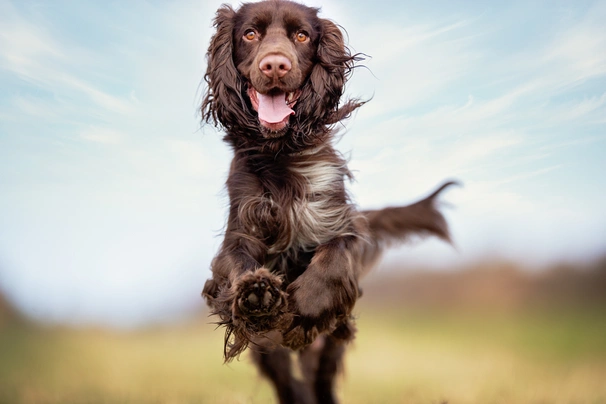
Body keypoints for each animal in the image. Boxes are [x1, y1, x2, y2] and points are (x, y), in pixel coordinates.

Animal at [202, 1, 458, 402]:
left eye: (301, 36)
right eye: (250, 34)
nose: (275, 65)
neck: (282, 154)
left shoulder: (341, 221)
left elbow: (335, 255)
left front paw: (306, 306)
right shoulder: (240, 228)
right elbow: (237, 264)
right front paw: (256, 294)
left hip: (326, 351)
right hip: (272, 355)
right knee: (289, 384)